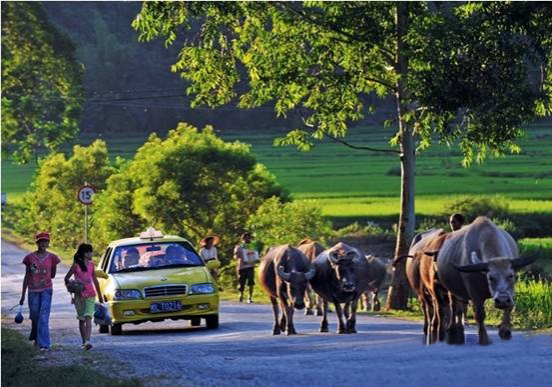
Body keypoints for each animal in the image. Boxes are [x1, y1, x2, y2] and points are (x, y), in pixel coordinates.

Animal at [436, 217, 536, 348]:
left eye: (510, 276)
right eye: (490, 278)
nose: (502, 300)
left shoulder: (510, 292)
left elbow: (509, 307)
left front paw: (505, 331)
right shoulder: (474, 293)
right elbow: (480, 314)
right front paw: (484, 338)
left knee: (459, 310)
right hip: (451, 290)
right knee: (454, 307)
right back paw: (453, 332)